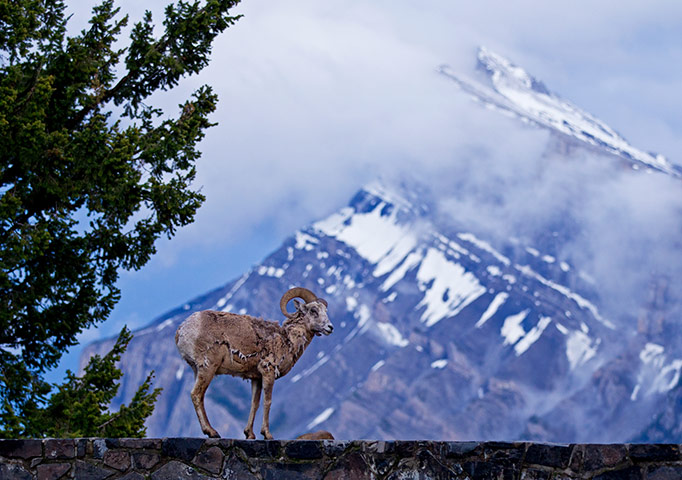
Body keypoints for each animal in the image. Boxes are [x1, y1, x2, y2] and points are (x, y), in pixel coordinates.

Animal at [175, 287, 334, 439]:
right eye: (313, 311)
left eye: (325, 311)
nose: (330, 328)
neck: (287, 339)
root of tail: (182, 329)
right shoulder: (268, 372)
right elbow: (267, 401)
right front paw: (267, 434)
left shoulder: (256, 378)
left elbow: (254, 404)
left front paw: (249, 434)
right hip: (208, 367)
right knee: (196, 394)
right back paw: (212, 432)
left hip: (197, 370)